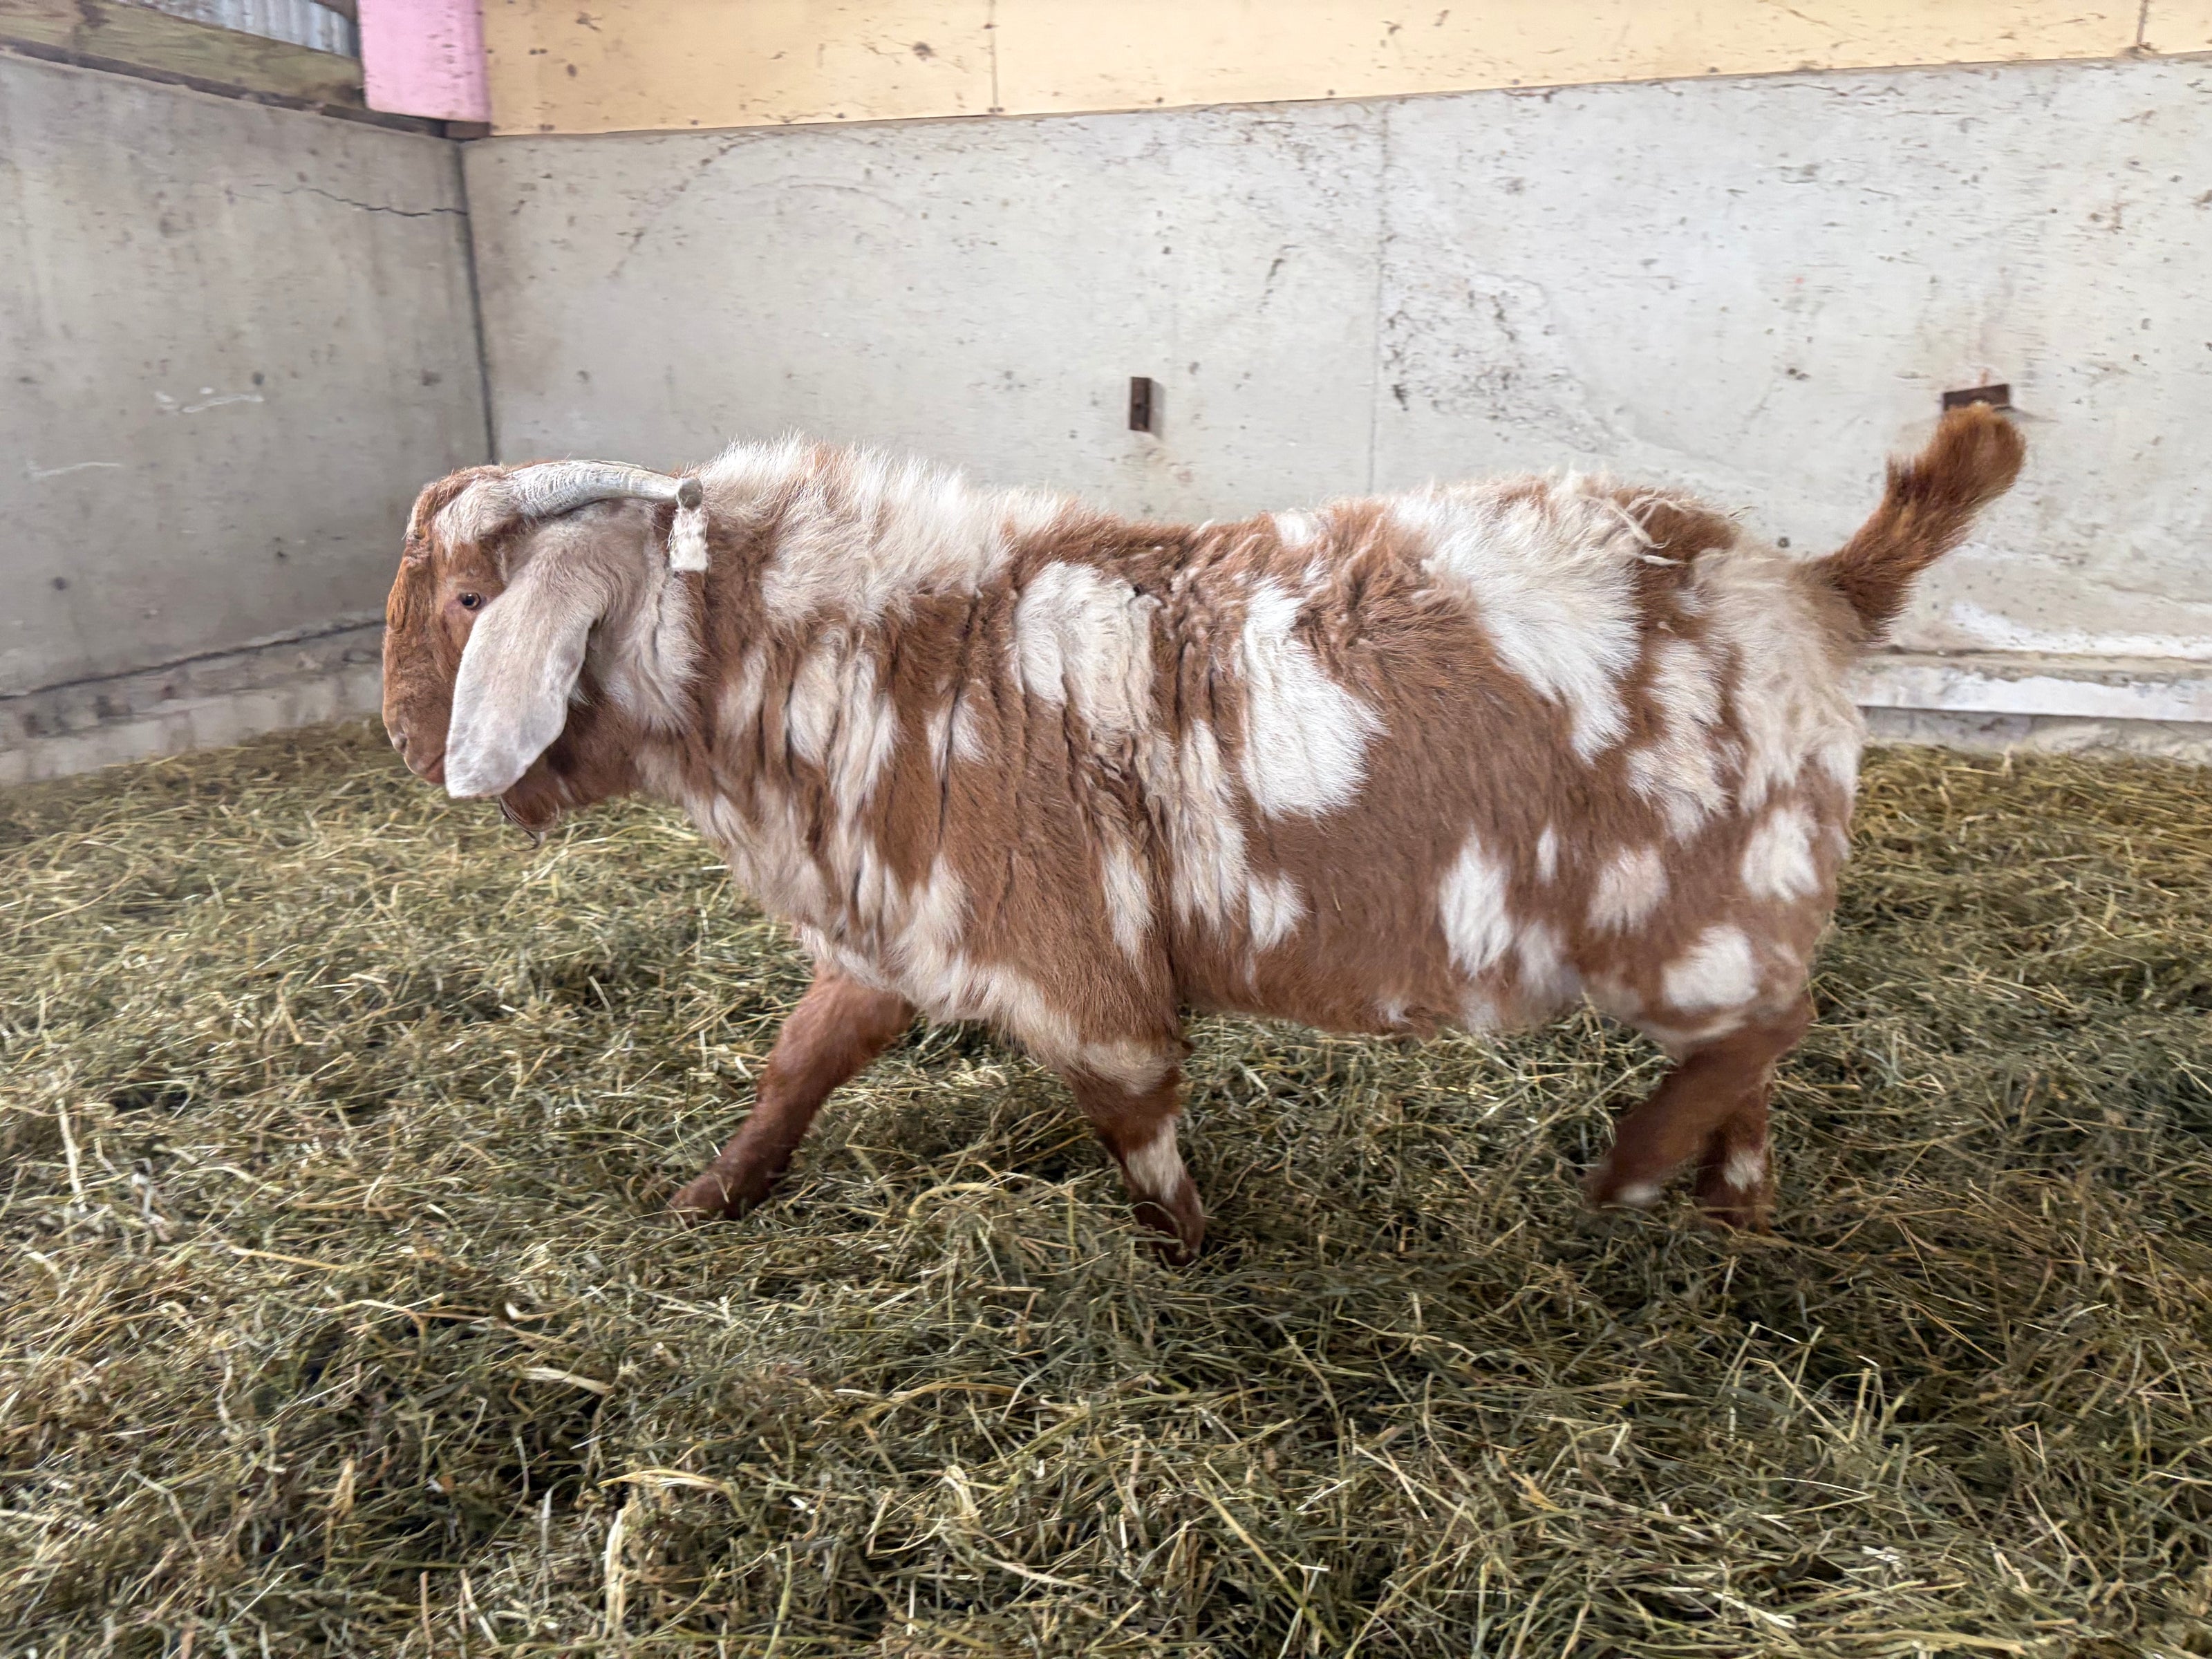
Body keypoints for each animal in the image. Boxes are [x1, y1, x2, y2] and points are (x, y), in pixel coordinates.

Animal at [381, 408, 2023, 1259]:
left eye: (470, 600)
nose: (402, 740)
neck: (884, 655)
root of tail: (1815, 589)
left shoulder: (1075, 977)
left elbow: (1136, 1128)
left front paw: (1197, 1257)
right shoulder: (901, 930)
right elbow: (802, 1059)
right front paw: (712, 1194)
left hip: (1704, 908)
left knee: (1772, 1022)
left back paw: (1632, 1173)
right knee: (1756, 1055)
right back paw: (1730, 1205)